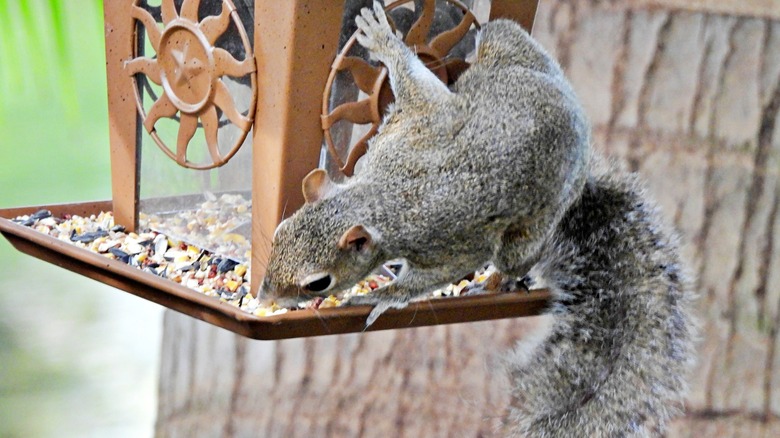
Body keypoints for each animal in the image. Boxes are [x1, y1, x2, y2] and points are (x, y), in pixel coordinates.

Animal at [260, 3, 695, 436]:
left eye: (319, 282)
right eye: (279, 232)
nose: (265, 299)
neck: (382, 197)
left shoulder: (448, 240)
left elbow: (436, 273)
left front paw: (383, 295)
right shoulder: (419, 127)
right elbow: (422, 89)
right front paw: (384, 40)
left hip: (530, 229)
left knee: (517, 259)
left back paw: (495, 282)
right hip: (505, 42)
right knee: (498, 36)